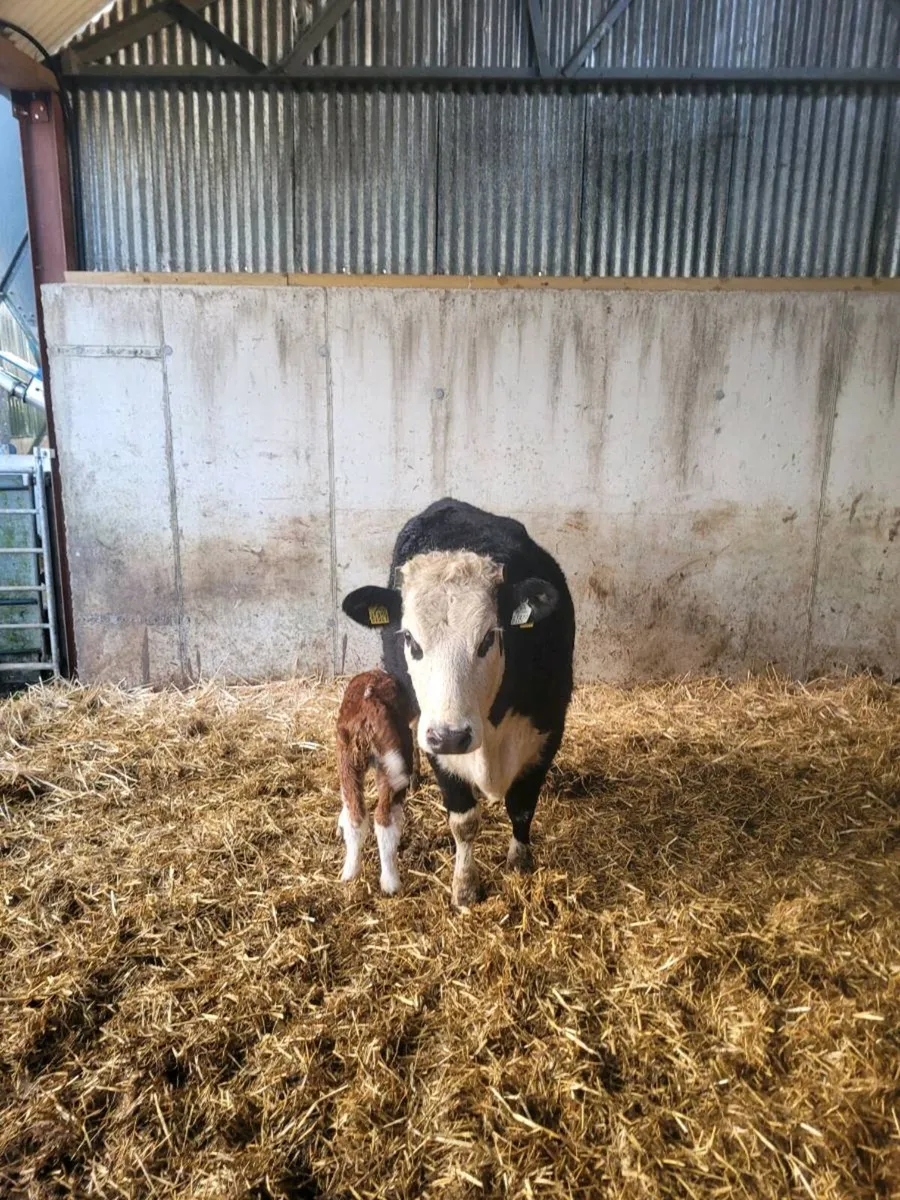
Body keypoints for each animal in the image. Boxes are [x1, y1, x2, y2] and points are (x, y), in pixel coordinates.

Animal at [336, 669, 419, 895]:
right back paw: (391, 883)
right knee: (384, 818)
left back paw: (351, 871)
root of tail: (369, 701)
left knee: (357, 815)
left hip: (348, 759)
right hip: (393, 761)